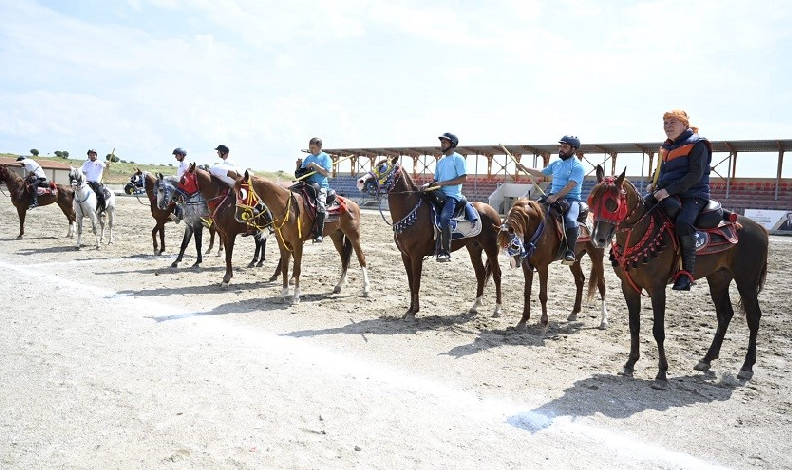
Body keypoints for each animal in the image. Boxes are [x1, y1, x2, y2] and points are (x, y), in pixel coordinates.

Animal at [235, 171, 372, 302]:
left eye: (242, 193)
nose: (237, 216)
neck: (287, 207)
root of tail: (353, 203)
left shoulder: (298, 242)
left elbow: (297, 268)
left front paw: (296, 296)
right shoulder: (283, 242)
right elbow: (285, 266)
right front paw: (284, 293)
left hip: (353, 235)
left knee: (361, 258)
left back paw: (366, 289)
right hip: (336, 236)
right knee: (344, 258)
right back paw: (339, 285)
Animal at [358, 156, 502, 322]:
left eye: (383, 168)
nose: (361, 181)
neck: (412, 212)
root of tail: (493, 211)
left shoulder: (417, 255)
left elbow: (416, 283)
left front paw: (414, 311)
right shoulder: (405, 256)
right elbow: (410, 283)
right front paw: (409, 310)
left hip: (491, 247)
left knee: (497, 274)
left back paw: (497, 309)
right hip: (474, 247)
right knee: (480, 274)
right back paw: (475, 305)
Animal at [496, 196, 608, 332]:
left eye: (514, 244)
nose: (515, 262)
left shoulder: (543, 266)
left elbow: (543, 295)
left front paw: (544, 322)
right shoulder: (527, 267)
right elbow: (526, 292)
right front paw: (523, 320)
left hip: (597, 256)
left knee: (601, 284)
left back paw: (603, 320)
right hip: (575, 260)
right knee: (580, 280)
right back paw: (574, 312)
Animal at [588, 165, 768, 386]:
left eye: (612, 204)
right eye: (592, 201)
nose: (598, 238)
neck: (642, 232)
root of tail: (757, 227)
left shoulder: (657, 289)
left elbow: (658, 330)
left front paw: (661, 372)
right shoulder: (629, 287)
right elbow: (634, 326)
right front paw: (630, 364)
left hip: (746, 283)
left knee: (754, 317)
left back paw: (746, 367)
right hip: (718, 279)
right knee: (725, 314)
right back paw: (706, 360)